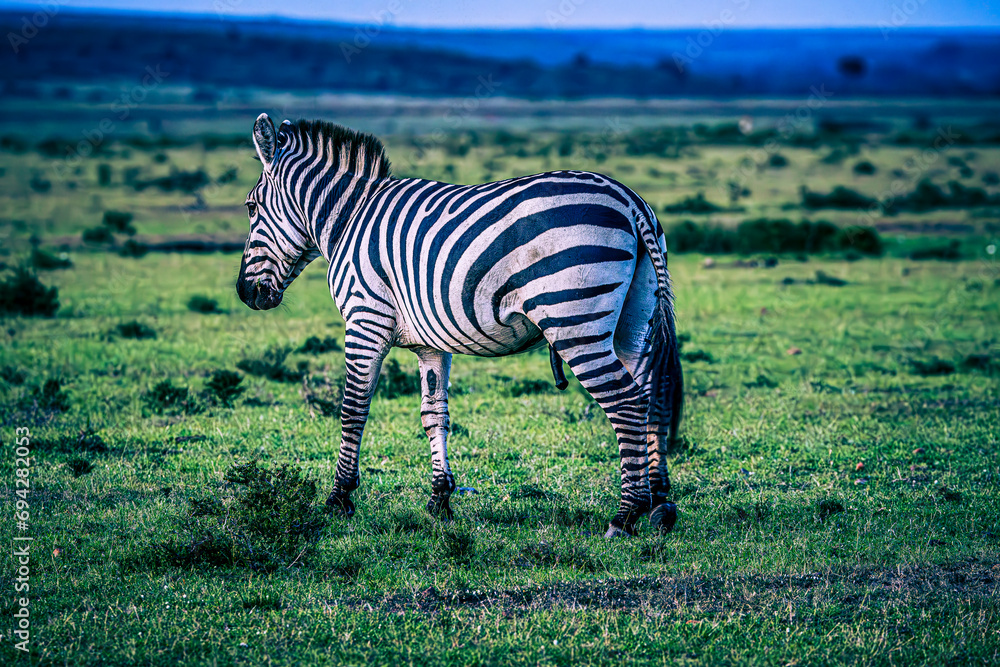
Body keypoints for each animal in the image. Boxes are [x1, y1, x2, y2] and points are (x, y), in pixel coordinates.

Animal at [236, 114, 683, 538]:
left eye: (251, 207)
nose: (245, 293)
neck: (348, 217)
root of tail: (630, 202)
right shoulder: (430, 343)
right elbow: (434, 413)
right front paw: (440, 500)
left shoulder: (365, 320)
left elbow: (352, 409)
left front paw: (339, 498)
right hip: (634, 321)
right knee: (652, 398)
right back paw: (660, 503)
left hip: (574, 320)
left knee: (626, 401)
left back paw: (626, 514)